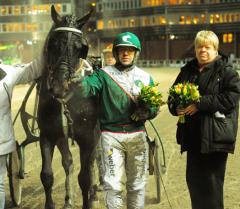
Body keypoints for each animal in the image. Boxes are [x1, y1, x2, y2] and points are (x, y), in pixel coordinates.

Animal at [37, 4, 98, 209]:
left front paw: (89, 196)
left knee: (93, 162)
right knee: (68, 162)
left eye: (81, 48)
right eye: (53, 44)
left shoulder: (88, 138)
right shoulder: (48, 134)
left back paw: (94, 192)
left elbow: (85, 177)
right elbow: (47, 175)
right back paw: (68, 199)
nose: (60, 86)